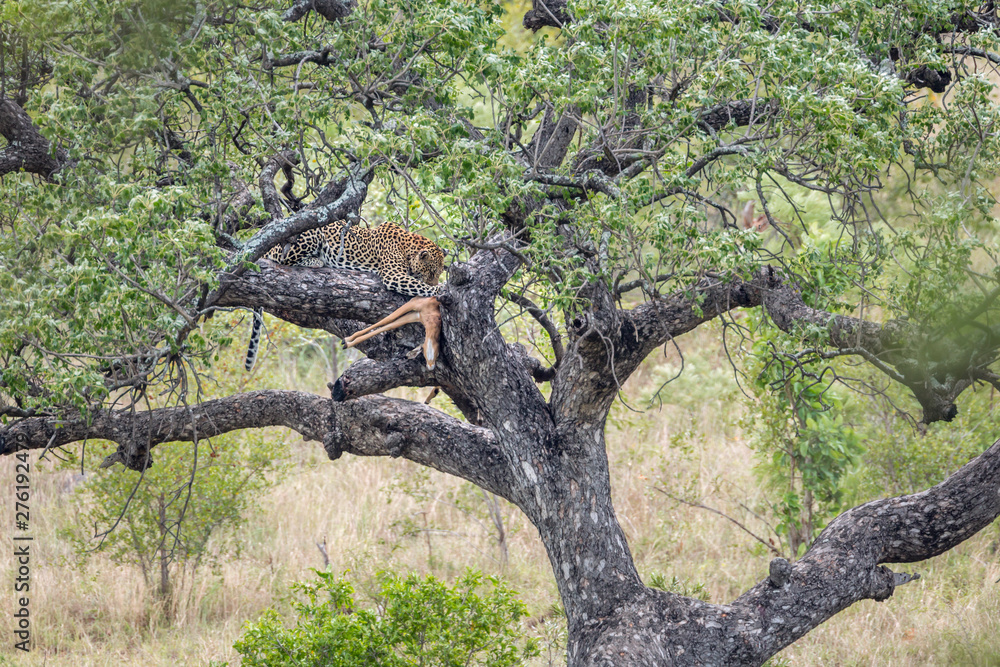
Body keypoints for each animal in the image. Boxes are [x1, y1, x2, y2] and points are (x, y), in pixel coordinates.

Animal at [244, 222, 444, 374]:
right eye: (432, 272)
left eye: (438, 272)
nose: (436, 279)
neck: (408, 247)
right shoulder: (393, 275)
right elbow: (419, 285)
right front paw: (440, 288)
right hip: (310, 234)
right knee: (284, 260)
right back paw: (316, 260)